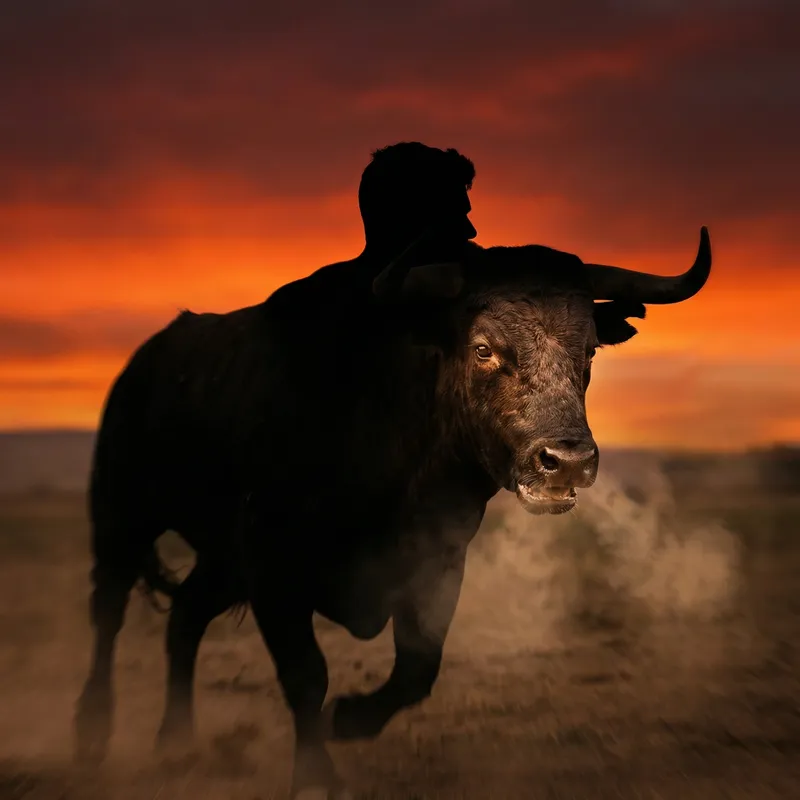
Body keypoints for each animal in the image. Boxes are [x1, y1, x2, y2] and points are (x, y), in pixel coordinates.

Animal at [74, 227, 711, 799]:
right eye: (483, 348)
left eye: (589, 350)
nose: (568, 461)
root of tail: (145, 361)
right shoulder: (275, 569)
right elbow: (306, 674)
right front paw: (316, 777)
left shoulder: (436, 563)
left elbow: (416, 669)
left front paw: (349, 719)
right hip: (122, 517)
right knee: (109, 611)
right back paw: (93, 733)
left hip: (220, 559)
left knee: (184, 616)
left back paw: (175, 742)